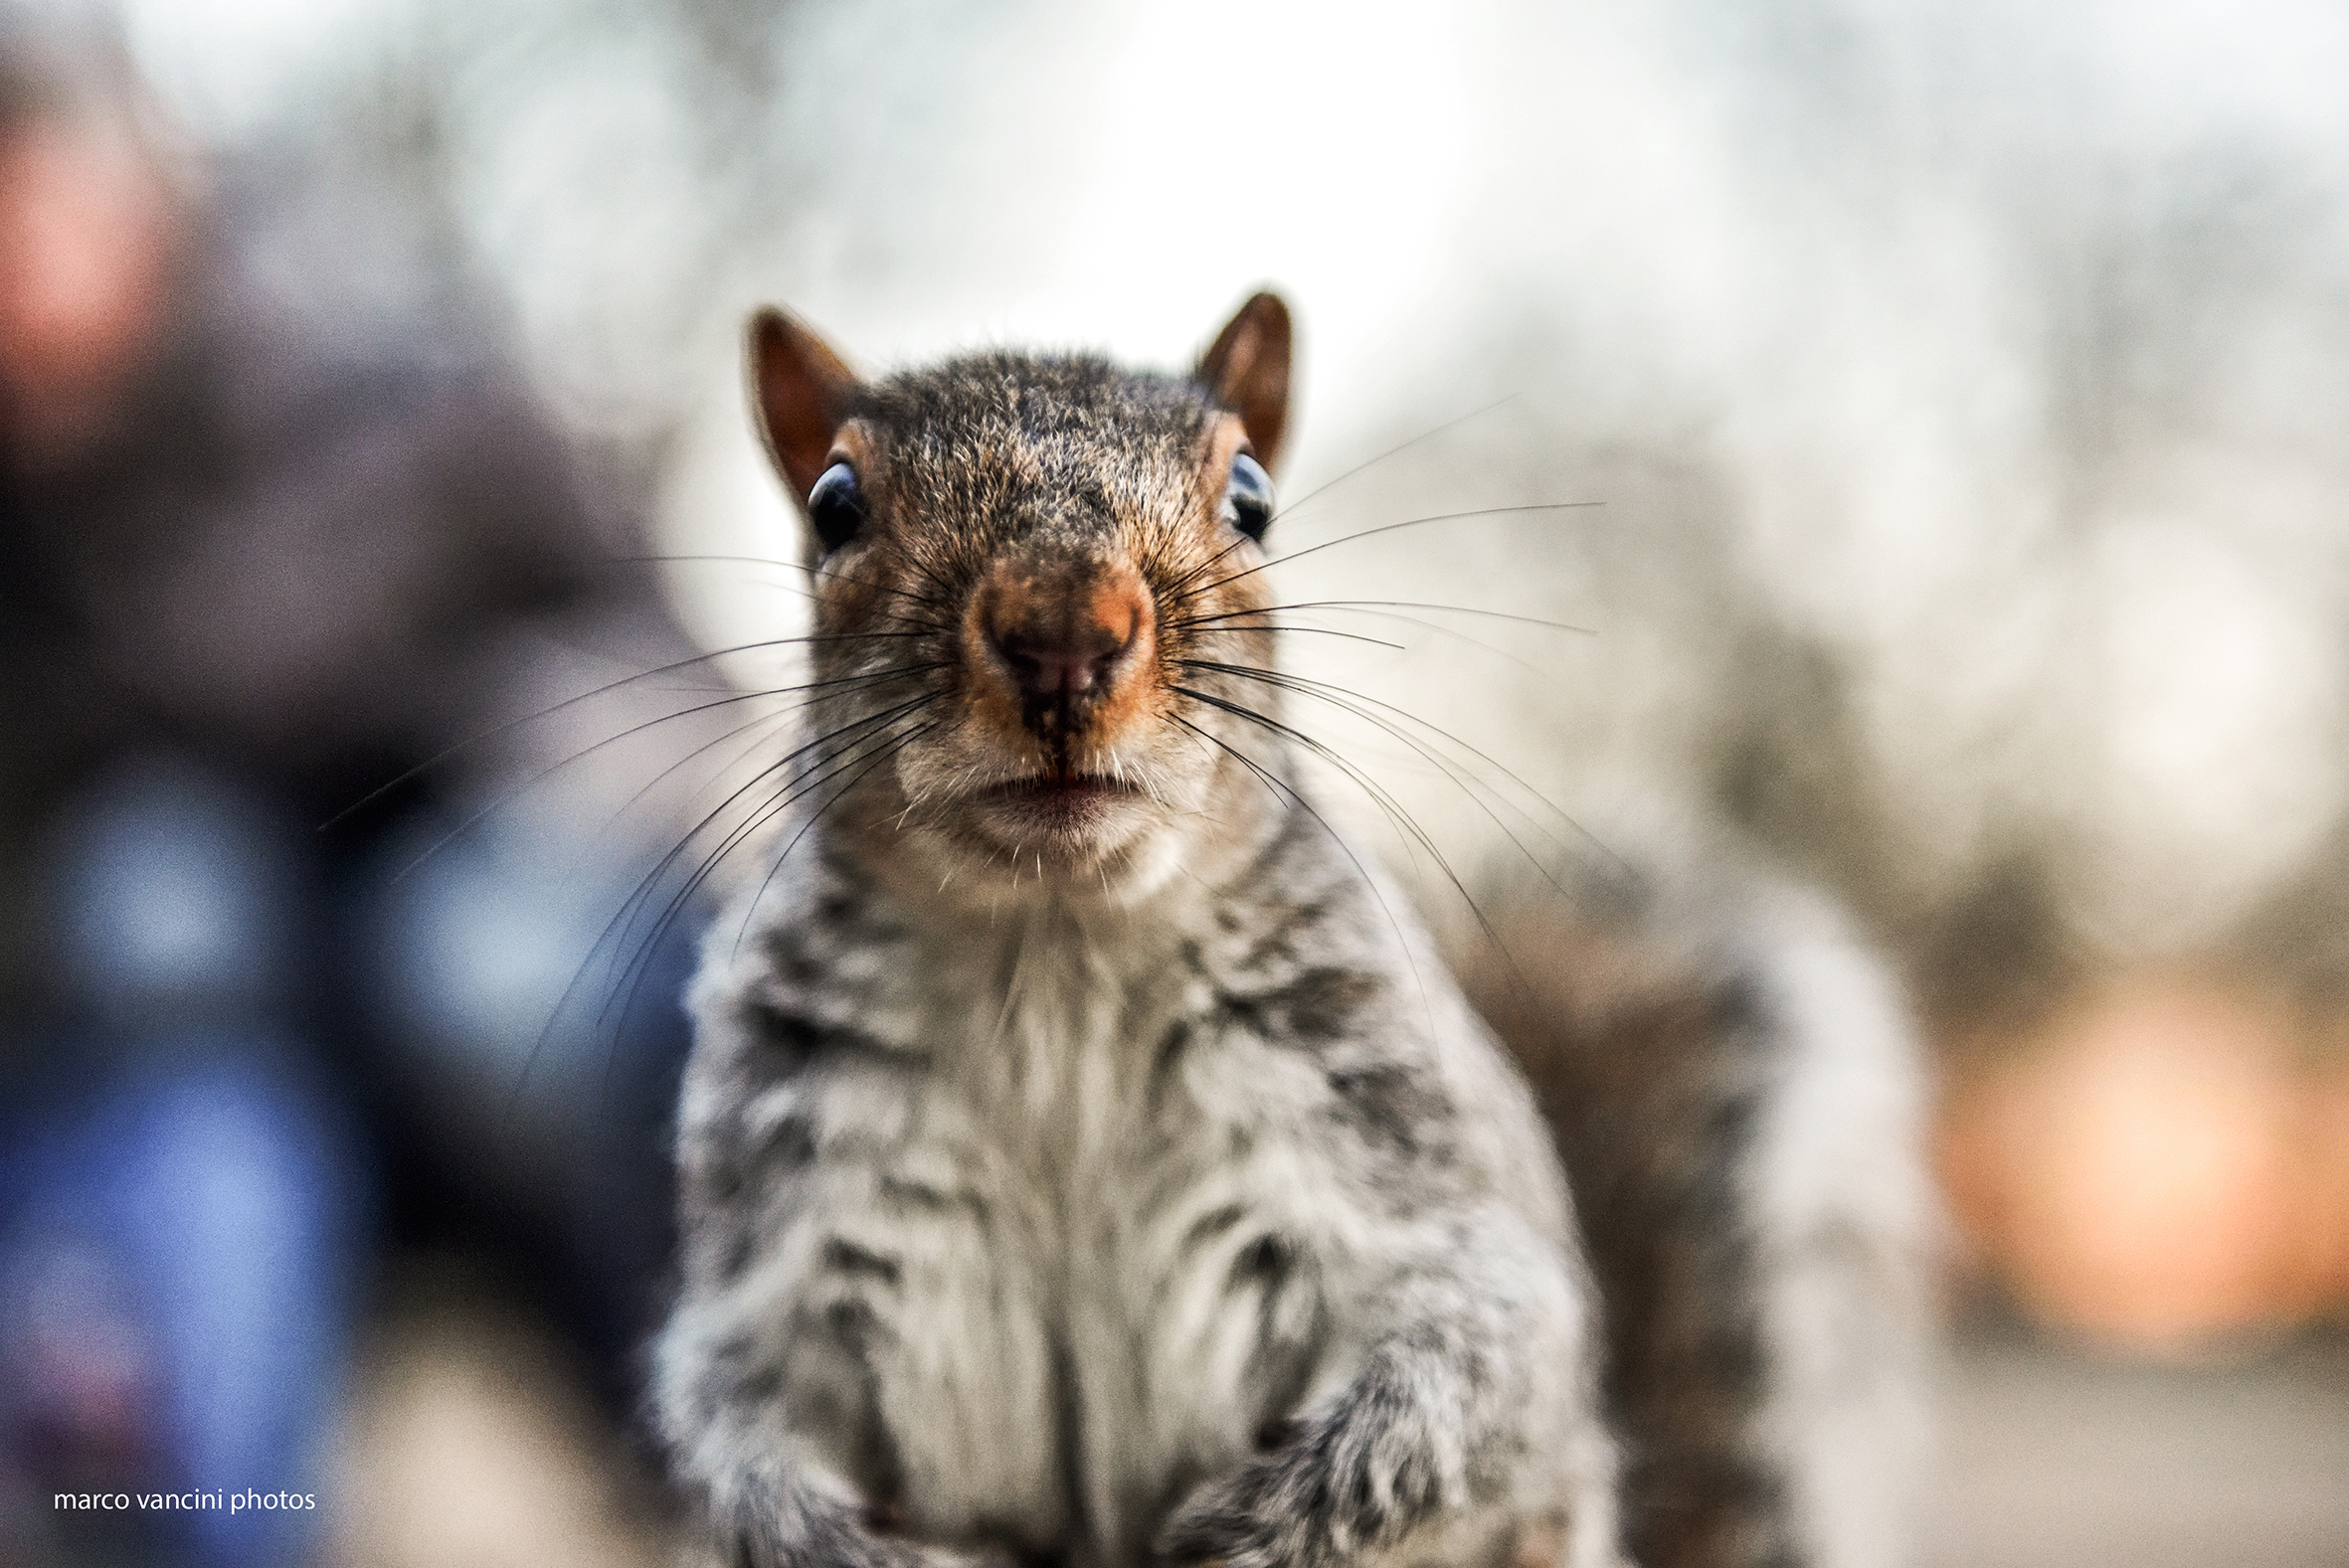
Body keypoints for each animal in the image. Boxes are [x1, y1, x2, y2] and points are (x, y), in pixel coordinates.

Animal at [651, 293, 1932, 1568]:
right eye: (835, 503)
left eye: (1252, 495)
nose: (1063, 633)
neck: (1056, 953)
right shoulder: (782, 1262)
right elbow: (732, 1430)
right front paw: (840, 1541)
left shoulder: (1418, 1179)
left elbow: (1472, 1377)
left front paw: (1247, 1531)